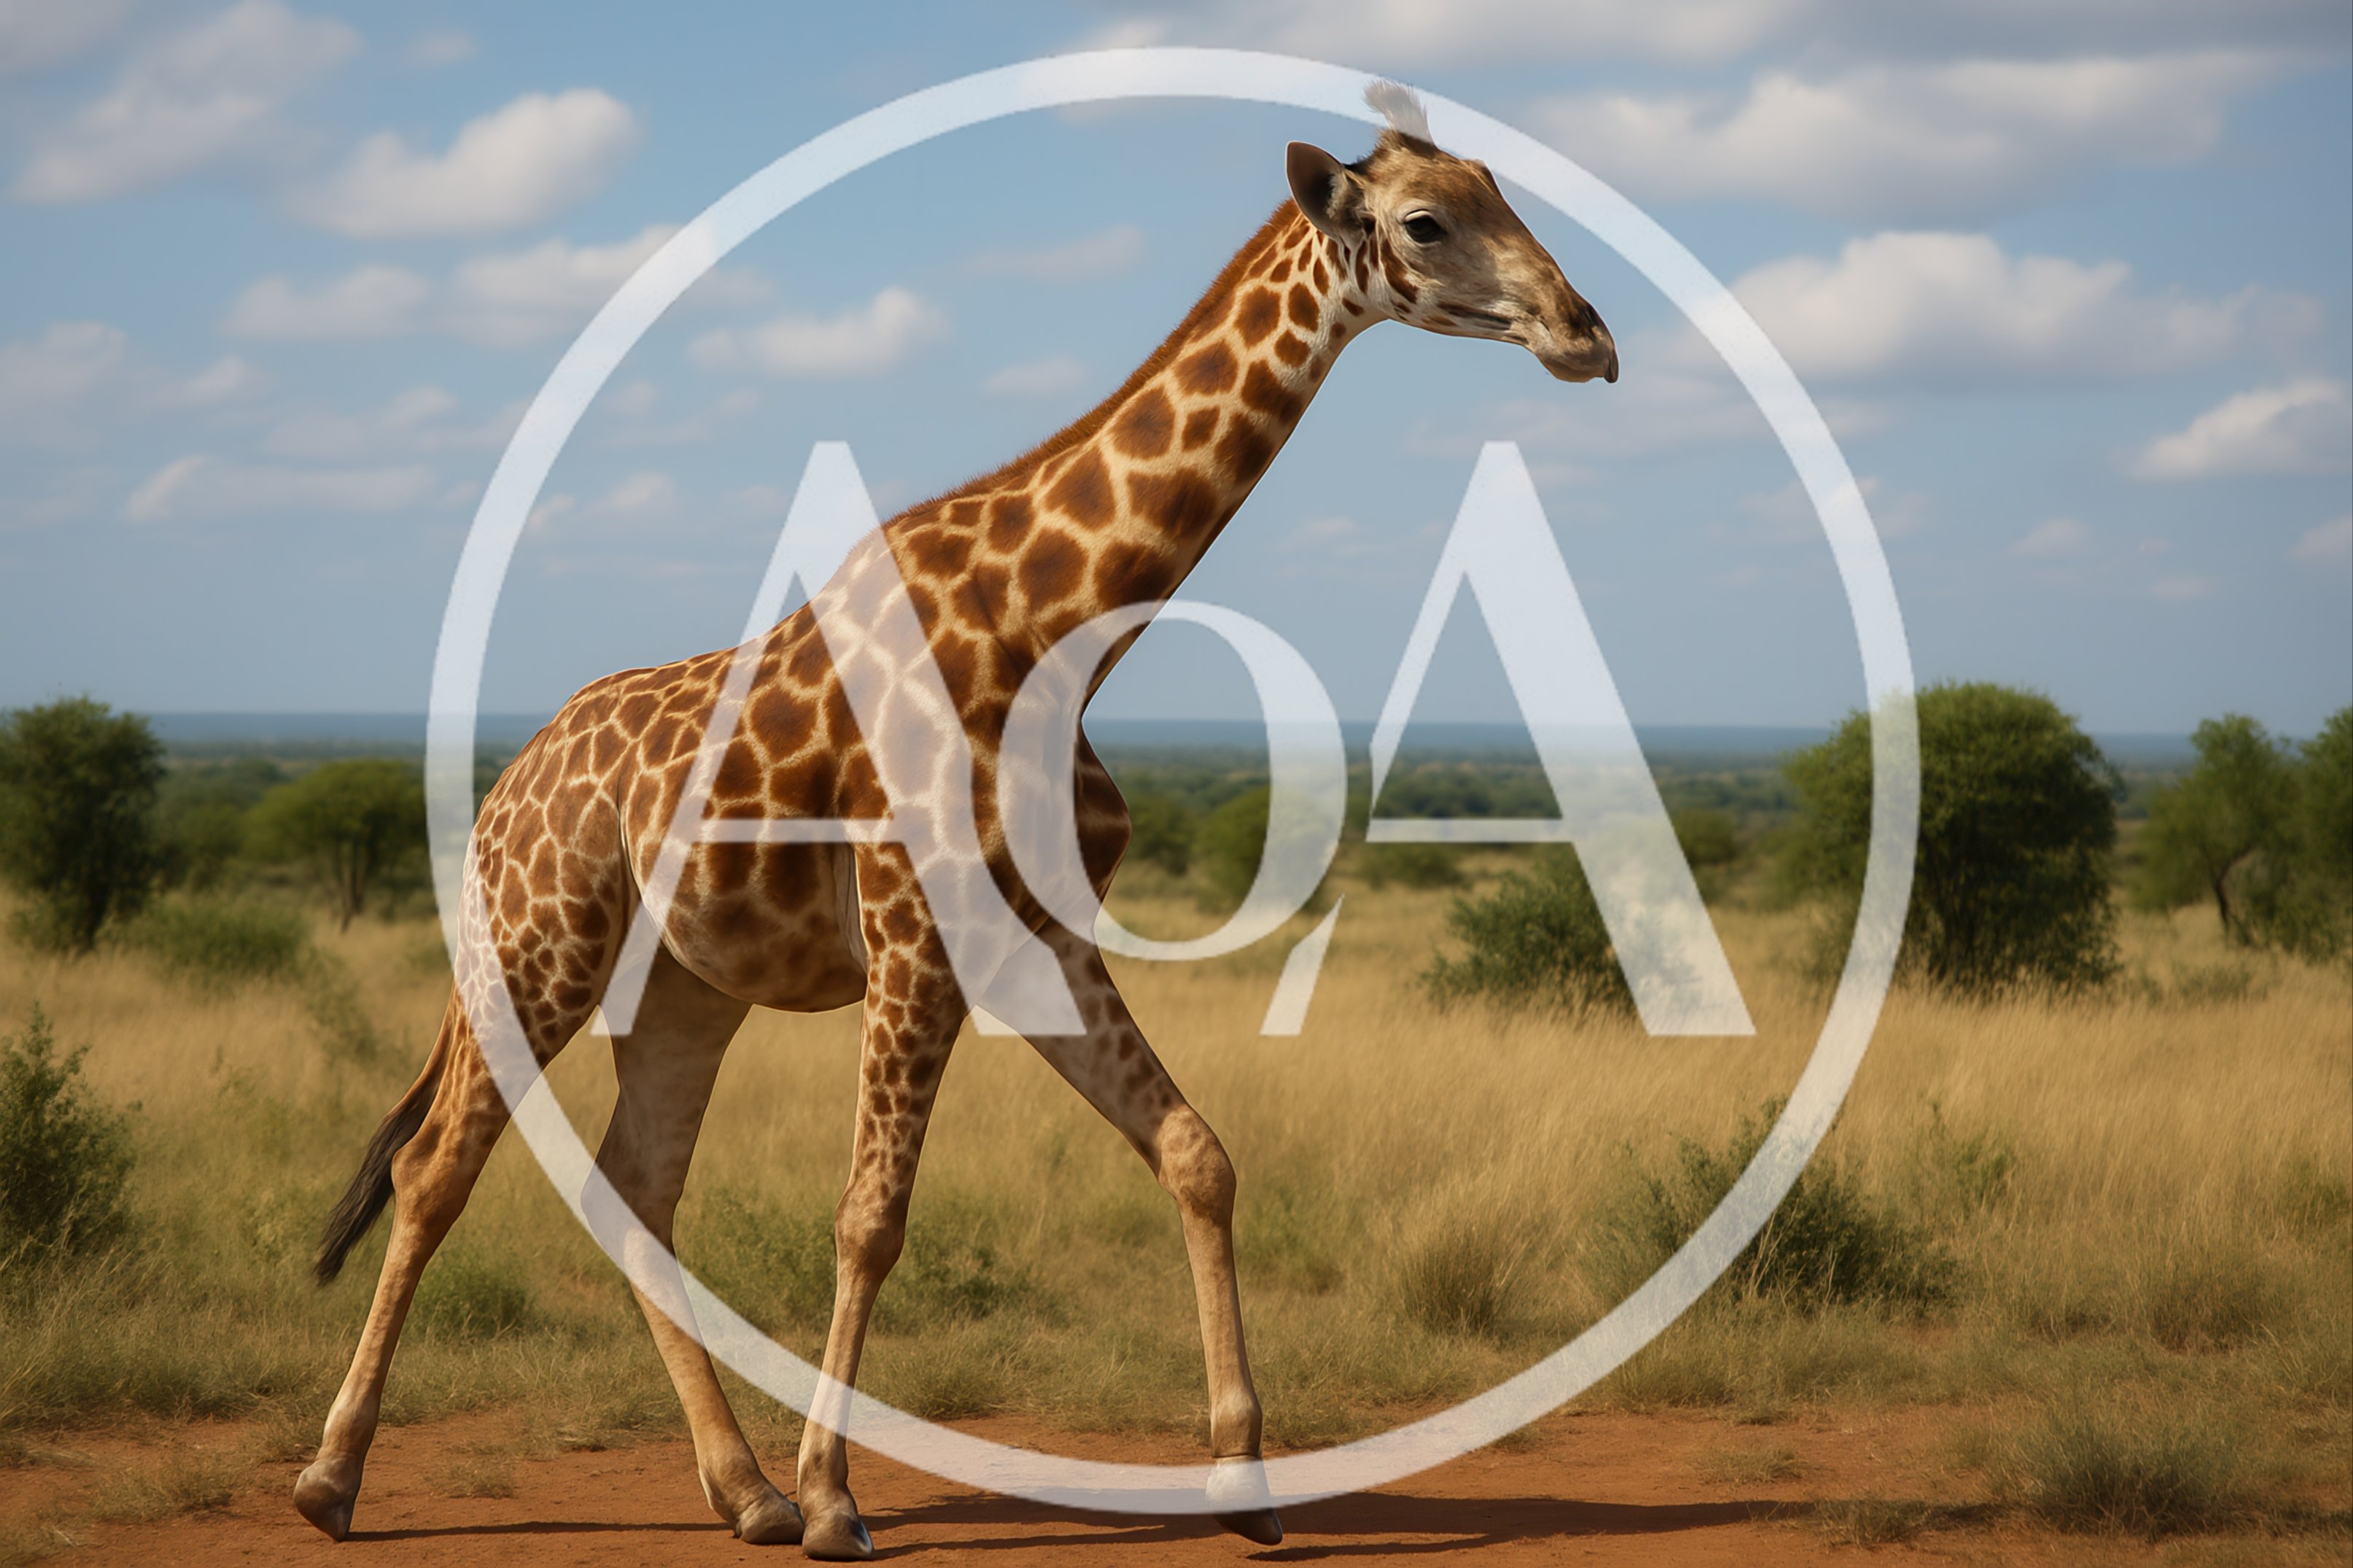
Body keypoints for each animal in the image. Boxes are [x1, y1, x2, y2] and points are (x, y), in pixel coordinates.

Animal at [294, 87, 1615, 1560]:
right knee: (436, 1166)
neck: (1059, 631)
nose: (1586, 333)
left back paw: (738, 1488)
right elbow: (871, 1216)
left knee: (634, 1180)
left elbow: (1198, 1156)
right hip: (540, 942)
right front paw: (836, 1497)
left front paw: (1243, 1479)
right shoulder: (914, 928)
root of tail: (507, 784)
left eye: (1500, 188)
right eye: (1427, 221)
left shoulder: (1036, 937)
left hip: (682, 984)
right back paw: (334, 1478)